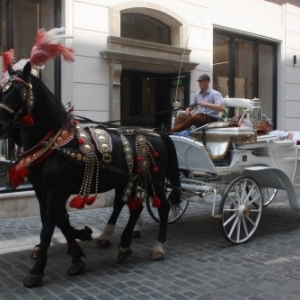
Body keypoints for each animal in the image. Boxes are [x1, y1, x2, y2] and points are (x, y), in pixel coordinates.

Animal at [0, 61, 180, 288]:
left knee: (162, 207)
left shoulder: (56, 191)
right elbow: (56, 220)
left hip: (154, 179)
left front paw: (37, 270)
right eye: (2, 90)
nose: (0, 125)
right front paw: (77, 250)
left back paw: (157, 247)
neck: (53, 143)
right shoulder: (43, 191)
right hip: (128, 179)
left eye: (19, 92)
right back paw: (122, 243)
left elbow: (50, 224)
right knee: (132, 207)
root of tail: (156, 132)